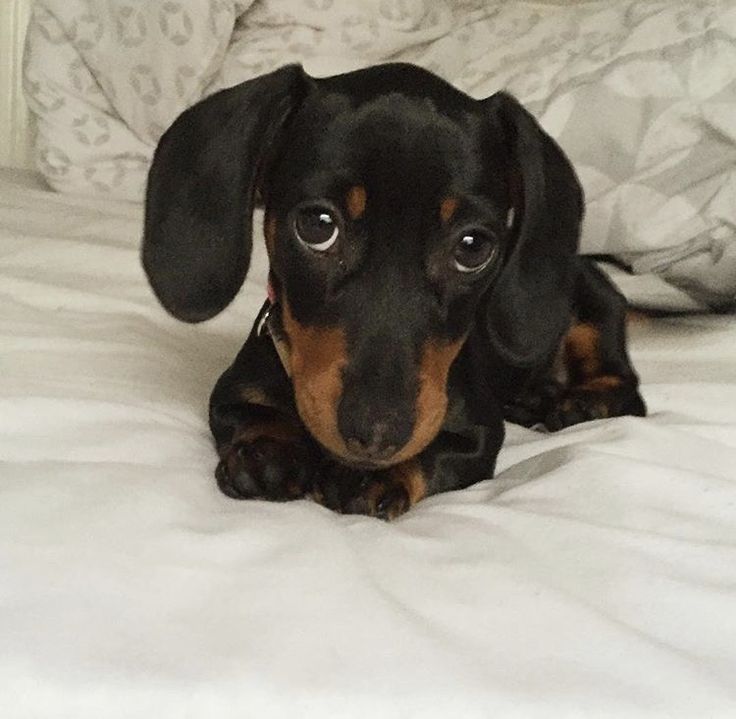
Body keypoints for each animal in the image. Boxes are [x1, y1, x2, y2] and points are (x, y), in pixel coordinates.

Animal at [142, 64, 644, 520]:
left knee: (626, 386)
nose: (377, 436)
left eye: (473, 247)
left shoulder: (479, 435)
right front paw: (269, 451)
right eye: (317, 225)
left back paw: (581, 401)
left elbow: (438, 453)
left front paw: (376, 476)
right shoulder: (231, 392)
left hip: (593, 304)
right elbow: (249, 414)